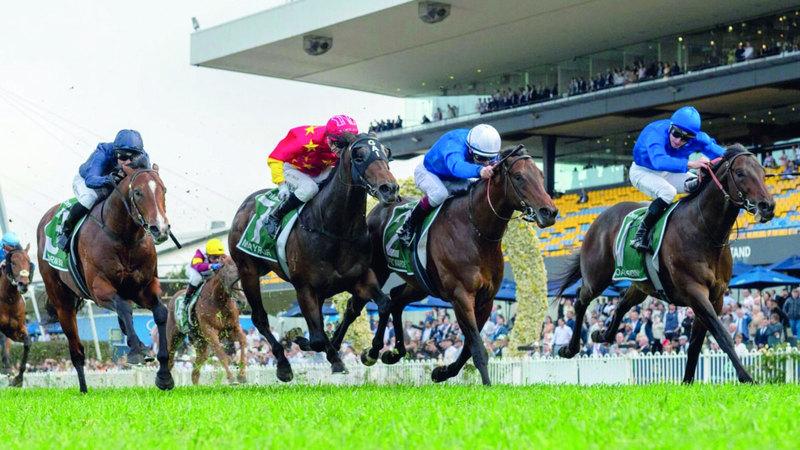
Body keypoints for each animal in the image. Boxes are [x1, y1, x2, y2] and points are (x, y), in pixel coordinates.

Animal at [36, 160, 174, 393]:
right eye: (138, 192)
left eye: (163, 190)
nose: (160, 229)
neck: (124, 238)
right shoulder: (99, 289)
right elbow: (125, 309)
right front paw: (137, 351)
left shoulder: (143, 288)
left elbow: (161, 313)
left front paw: (164, 376)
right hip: (62, 302)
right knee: (77, 351)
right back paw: (84, 390)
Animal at [166, 255, 248, 385]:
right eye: (225, 276)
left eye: (239, 276)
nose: (242, 301)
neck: (218, 302)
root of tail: (173, 297)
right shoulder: (210, 332)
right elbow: (221, 353)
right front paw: (231, 378)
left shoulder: (231, 329)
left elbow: (243, 341)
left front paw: (242, 376)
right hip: (174, 336)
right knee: (169, 360)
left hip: (201, 344)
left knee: (195, 370)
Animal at [229, 132, 399, 382]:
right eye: (358, 155)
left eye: (386, 152)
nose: (390, 188)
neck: (336, 230)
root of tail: (244, 206)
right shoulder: (304, 287)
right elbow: (318, 338)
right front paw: (324, 353)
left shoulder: (360, 278)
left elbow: (385, 304)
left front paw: (371, 352)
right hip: (247, 270)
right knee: (259, 318)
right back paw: (283, 365)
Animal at [332, 145, 558, 385]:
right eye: (519, 177)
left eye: (541, 175)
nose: (549, 212)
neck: (476, 232)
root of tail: (379, 208)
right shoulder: (461, 296)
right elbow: (477, 346)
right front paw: (487, 384)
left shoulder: (486, 300)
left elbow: (468, 347)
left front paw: (442, 372)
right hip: (377, 270)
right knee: (356, 306)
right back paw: (339, 348)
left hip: (419, 284)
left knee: (394, 301)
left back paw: (384, 352)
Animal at [555, 145, 775, 383]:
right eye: (741, 173)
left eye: (763, 173)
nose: (768, 206)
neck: (703, 230)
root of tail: (598, 219)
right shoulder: (694, 291)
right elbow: (722, 334)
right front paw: (747, 377)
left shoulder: (715, 297)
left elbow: (695, 345)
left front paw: (687, 382)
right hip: (597, 277)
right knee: (581, 301)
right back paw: (569, 349)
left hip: (640, 283)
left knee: (622, 304)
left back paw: (601, 334)